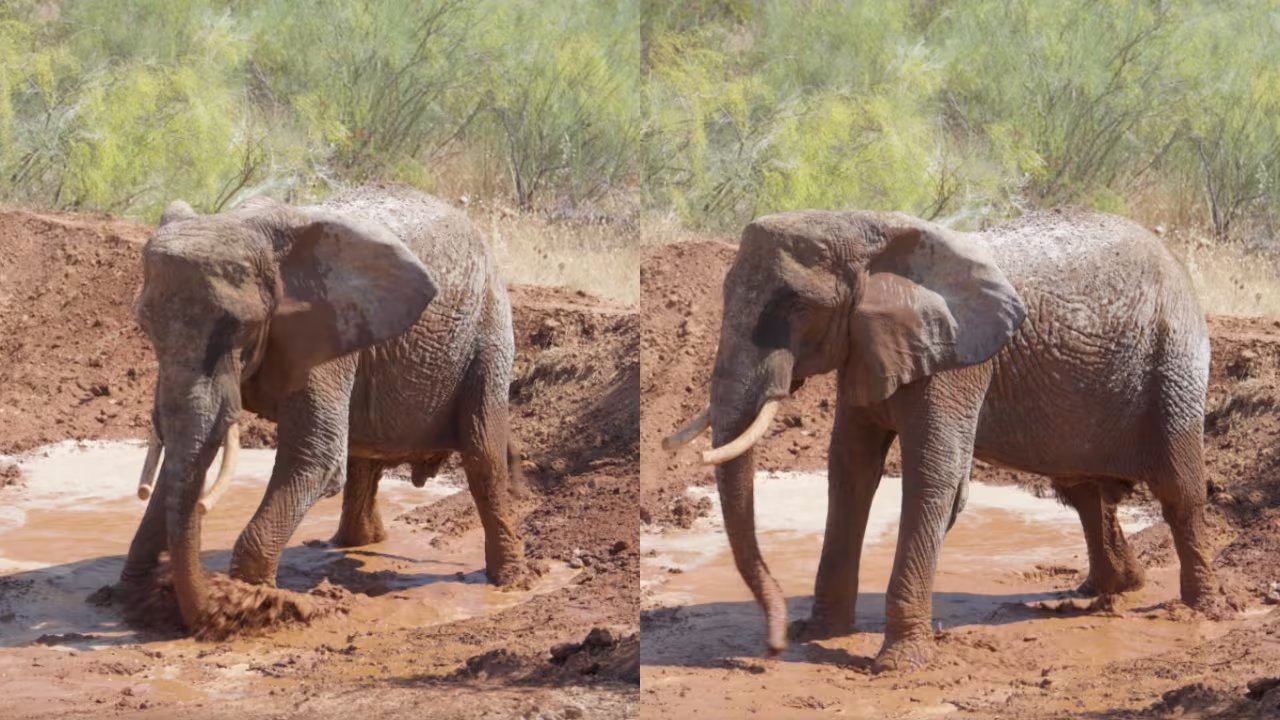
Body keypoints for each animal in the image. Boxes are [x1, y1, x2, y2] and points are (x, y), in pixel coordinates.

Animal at [122, 185, 526, 630]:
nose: (204, 616)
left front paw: (250, 603)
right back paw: (356, 545)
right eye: (145, 327)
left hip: (489, 331)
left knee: (483, 455)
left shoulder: (327, 336)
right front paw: (134, 595)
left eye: (238, 328)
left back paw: (510, 582)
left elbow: (315, 456)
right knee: (365, 459)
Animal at [665, 208, 1225, 672]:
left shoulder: (957, 363)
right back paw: (1115, 589)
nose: (772, 647)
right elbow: (849, 468)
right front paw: (818, 632)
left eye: (798, 306)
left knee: (1177, 487)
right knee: (1084, 492)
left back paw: (1199, 608)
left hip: (1173, 355)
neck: (872, 237)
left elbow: (934, 473)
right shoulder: (867, 349)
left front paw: (895, 664)